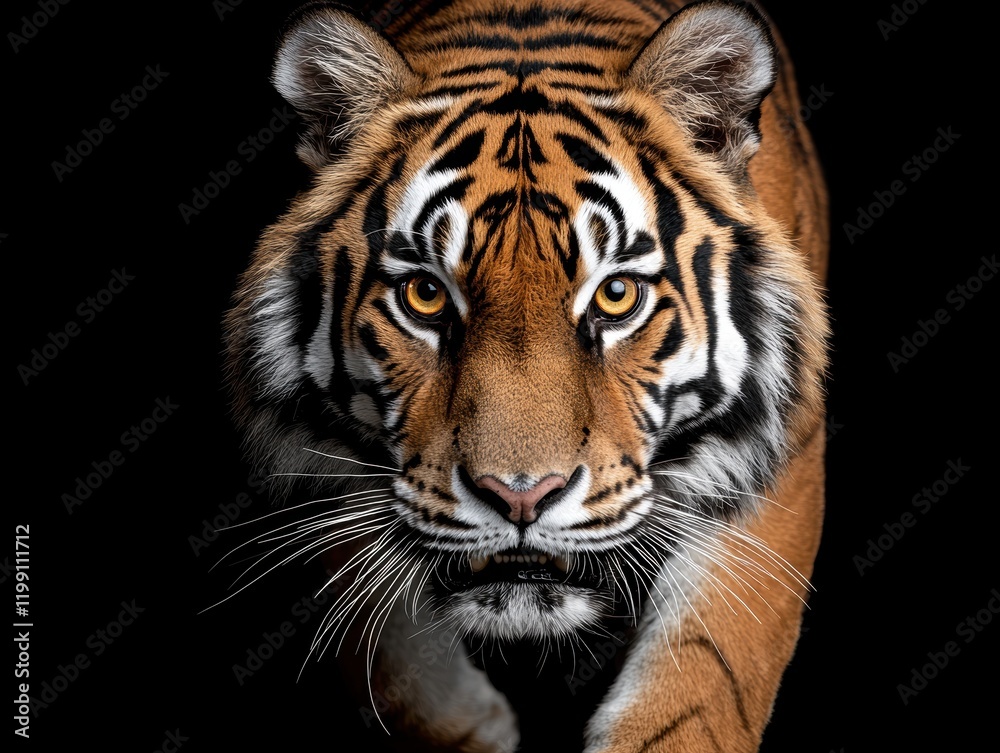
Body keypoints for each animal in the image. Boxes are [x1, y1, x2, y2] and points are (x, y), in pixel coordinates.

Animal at [223, 0, 828, 750]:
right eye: (425, 295)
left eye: (616, 295)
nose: (520, 497)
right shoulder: (325, 471)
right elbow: (396, 670)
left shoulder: (776, 465)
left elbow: (695, 693)